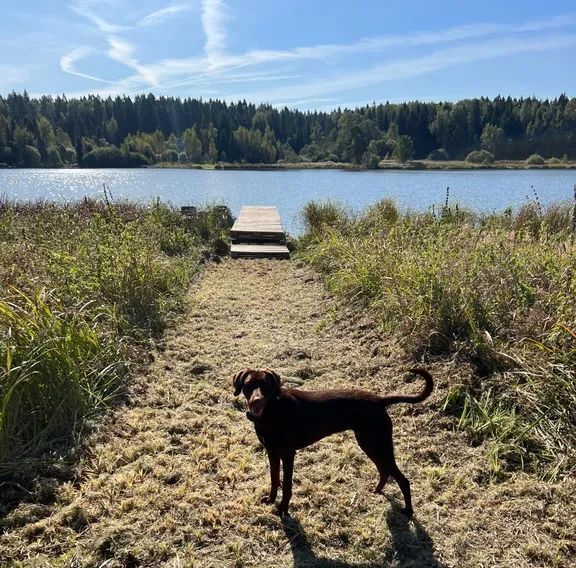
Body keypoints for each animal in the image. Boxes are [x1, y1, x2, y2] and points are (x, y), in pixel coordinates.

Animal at [233, 366, 432, 516]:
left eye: (265, 386)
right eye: (248, 385)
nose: (256, 402)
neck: (272, 411)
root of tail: (379, 400)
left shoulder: (288, 454)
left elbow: (287, 485)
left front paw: (283, 508)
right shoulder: (272, 452)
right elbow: (274, 479)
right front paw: (271, 500)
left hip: (379, 445)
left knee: (403, 479)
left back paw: (408, 511)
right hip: (368, 443)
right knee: (384, 470)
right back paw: (377, 491)